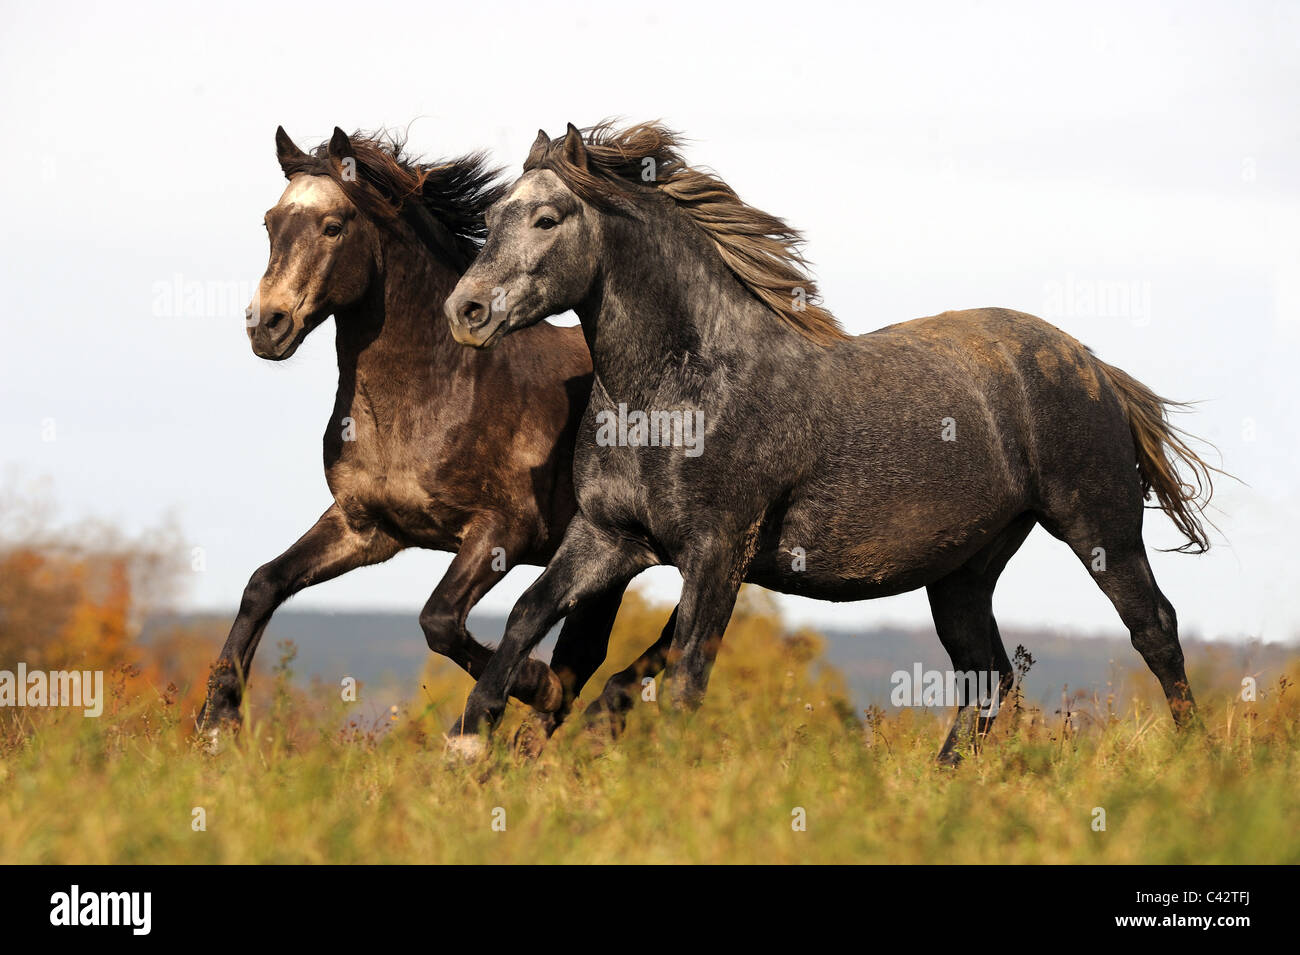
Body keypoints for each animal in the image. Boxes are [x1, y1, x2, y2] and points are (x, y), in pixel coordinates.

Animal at [196, 125, 655, 748]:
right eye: (271, 222)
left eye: (333, 226)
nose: (268, 325)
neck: (439, 395)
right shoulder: (367, 528)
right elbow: (263, 583)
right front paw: (215, 725)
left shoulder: (503, 531)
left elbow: (438, 620)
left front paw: (529, 684)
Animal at [439, 121, 1216, 764]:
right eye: (493, 215)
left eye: (546, 217)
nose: (465, 311)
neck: (676, 393)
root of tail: (1096, 368)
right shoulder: (609, 537)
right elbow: (525, 615)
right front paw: (471, 743)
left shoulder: (717, 550)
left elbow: (687, 674)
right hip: (963, 571)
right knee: (987, 674)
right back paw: (942, 784)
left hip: (1098, 525)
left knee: (1154, 628)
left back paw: (1198, 762)